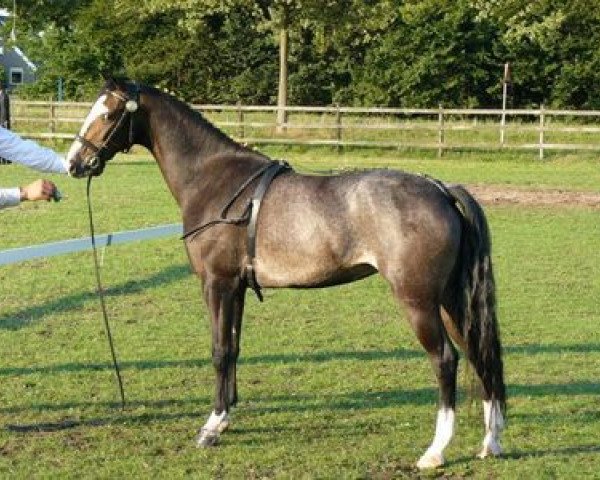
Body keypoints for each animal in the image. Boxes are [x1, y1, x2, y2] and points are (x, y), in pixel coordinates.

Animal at [67, 77, 506, 470]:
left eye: (108, 113)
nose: (75, 162)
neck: (212, 177)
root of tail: (441, 189)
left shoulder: (217, 285)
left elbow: (219, 351)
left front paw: (211, 426)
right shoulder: (238, 288)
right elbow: (233, 349)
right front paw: (225, 418)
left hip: (418, 301)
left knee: (445, 359)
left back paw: (435, 451)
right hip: (450, 300)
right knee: (478, 352)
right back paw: (491, 441)